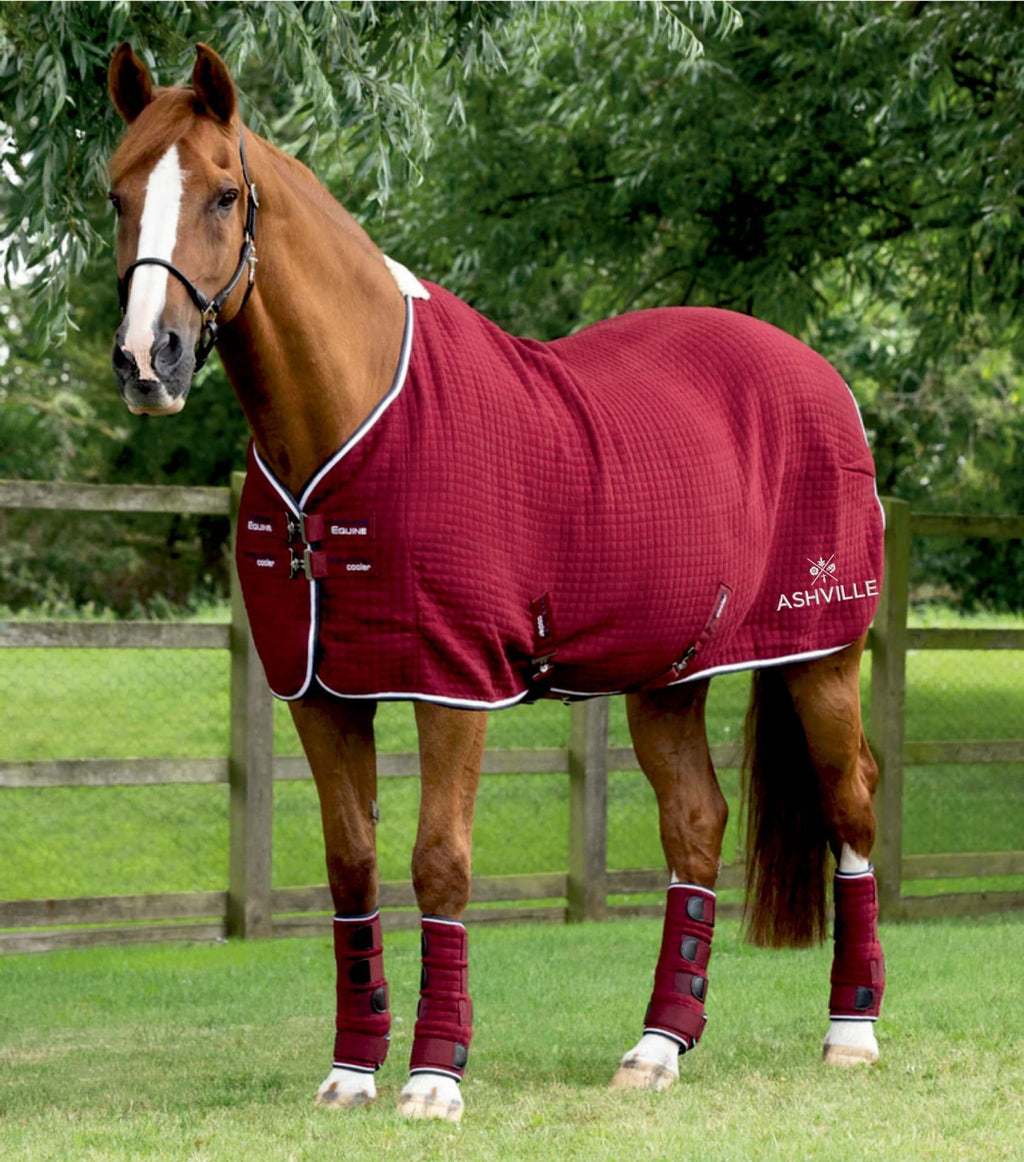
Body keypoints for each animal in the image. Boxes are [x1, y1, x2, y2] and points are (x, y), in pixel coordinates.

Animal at [105, 43, 886, 1123]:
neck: (353, 420)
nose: (150, 361)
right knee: (696, 826)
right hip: (667, 679)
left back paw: (852, 1033)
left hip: (823, 656)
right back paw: (657, 1048)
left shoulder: (453, 684)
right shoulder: (319, 695)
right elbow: (351, 867)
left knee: (852, 806)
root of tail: (823, 378)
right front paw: (352, 1070)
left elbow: (439, 864)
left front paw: (436, 1076)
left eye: (224, 193)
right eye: (116, 194)